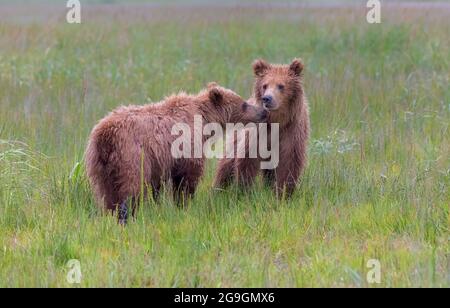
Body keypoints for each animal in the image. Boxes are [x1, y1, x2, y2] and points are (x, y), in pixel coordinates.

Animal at [85, 83, 268, 221]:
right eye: (244, 104)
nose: (263, 111)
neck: (204, 119)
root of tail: (106, 135)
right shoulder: (186, 145)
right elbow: (187, 179)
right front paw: (184, 205)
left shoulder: (159, 162)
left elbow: (157, 186)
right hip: (130, 156)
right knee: (131, 188)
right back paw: (127, 215)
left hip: (100, 164)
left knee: (106, 192)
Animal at [214, 58, 310, 197]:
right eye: (265, 85)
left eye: (281, 86)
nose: (267, 98)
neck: (277, 121)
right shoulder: (259, 133)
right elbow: (247, 160)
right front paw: (244, 191)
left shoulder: (291, 132)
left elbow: (289, 163)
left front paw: (283, 194)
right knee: (226, 164)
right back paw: (218, 190)